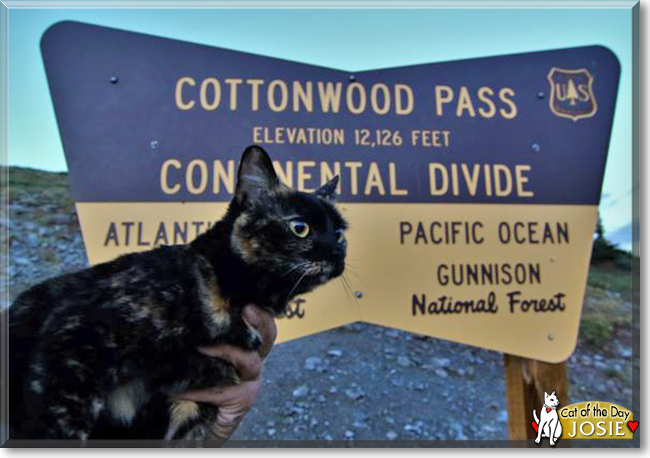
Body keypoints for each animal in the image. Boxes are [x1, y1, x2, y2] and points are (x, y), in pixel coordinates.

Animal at [7, 147, 346, 440]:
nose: (336, 254)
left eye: (340, 233)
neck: (230, 292)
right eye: (300, 227)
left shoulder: (188, 409)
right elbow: (59, 427)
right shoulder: (73, 337)